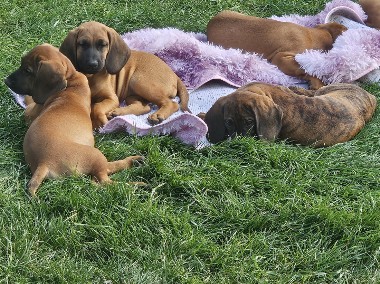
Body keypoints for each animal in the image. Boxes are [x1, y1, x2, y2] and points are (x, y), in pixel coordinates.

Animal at [4, 43, 144, 197]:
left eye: (27, 70)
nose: (6, 81)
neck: (71, 80)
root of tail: (43, 163)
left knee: (100, 181)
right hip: (94, 154)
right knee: (105, 179)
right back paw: (136, 177)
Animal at [59, 21, 191, 129]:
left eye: (103, 44)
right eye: (83, 44)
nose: (92, 64)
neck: (91, 77)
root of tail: (175, 75)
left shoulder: (112, 98)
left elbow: (97, 107)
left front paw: (99, 122)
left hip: (138, 81)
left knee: (172, 103)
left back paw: (158, 115)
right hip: (132, 94)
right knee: (144, 107)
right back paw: (117, 113)